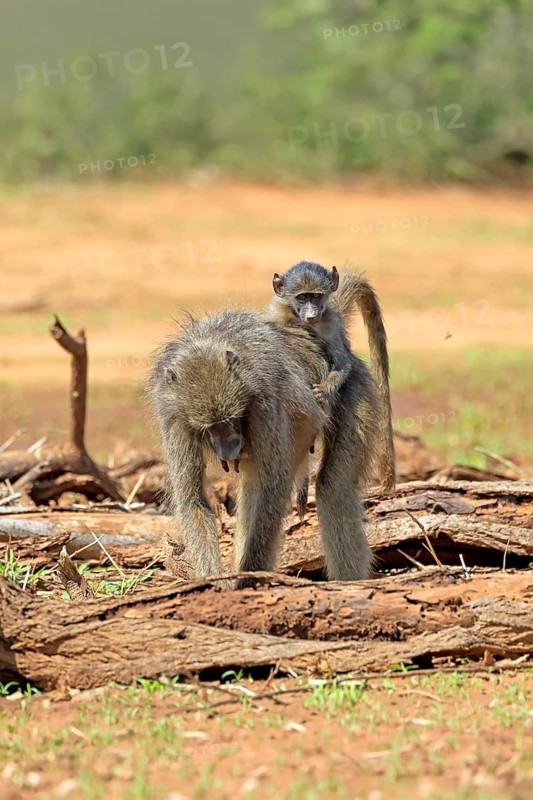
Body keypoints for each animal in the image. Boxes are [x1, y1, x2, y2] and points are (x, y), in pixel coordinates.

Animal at [150, 308, 378, 586]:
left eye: (231, 420)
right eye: (210, 427)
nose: (229, 448)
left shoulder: (264, 401)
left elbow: (274, 486)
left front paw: (249, 578)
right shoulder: (174, 417)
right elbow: (191, 499)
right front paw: (214, 580)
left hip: (352, 387)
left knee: (333, 487)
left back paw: (350, 583)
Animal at [265, 261, 395, 495]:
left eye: (316, 297)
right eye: (302, 297)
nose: (311, 315)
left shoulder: (330, 323)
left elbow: (343, 362)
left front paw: (324, 391)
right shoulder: (277, 310)